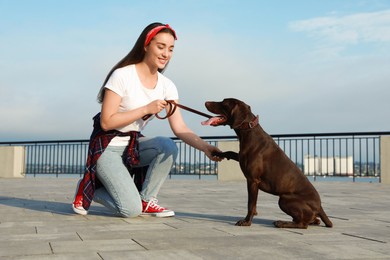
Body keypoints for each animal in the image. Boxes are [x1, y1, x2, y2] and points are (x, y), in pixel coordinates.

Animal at [203, 98, 334, 229]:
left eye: (224, 102)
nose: (206, 102)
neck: (249, 131)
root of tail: (320, 207)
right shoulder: (242, 158)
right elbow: (230, 152)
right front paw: (218, 153)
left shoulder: (253, 180)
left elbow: (250, 204)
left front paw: (247, 221)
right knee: (313, 220)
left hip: (284, 199)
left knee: (303, 223)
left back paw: (282, 223)